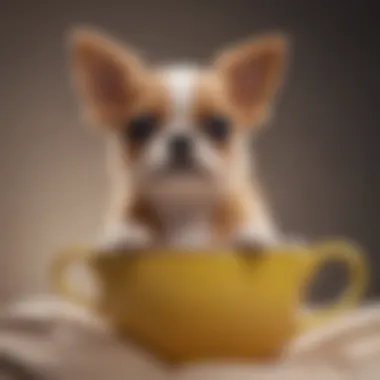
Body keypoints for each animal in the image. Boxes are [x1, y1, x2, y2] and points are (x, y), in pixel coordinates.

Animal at [69, 27, 288, 252]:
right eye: (140, 127)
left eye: (219, 126)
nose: (180, 139)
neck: (185, 209)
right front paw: (125, 235)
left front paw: (252, 235)